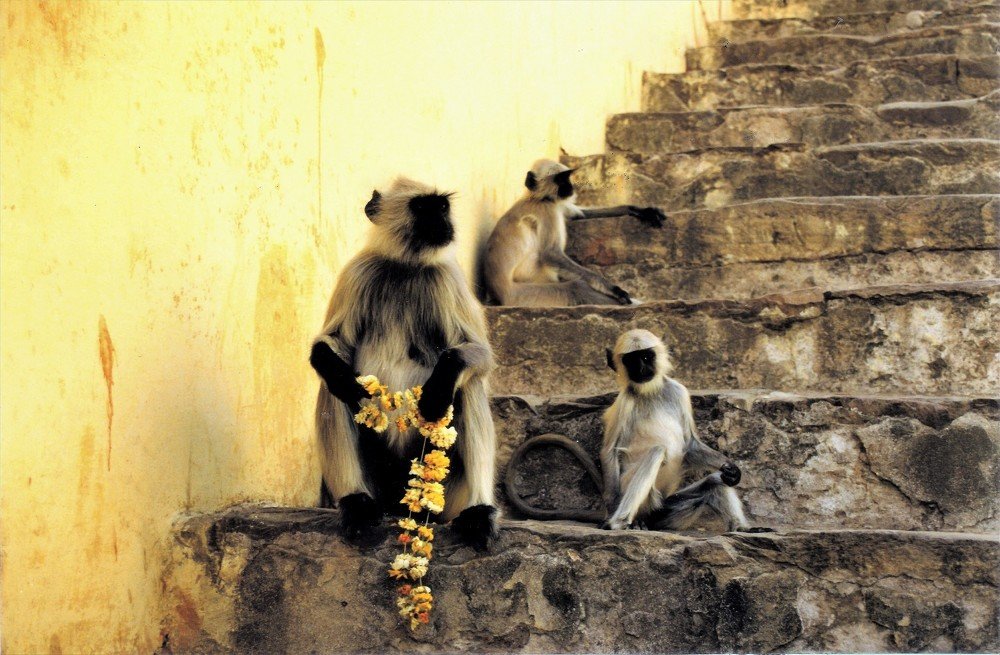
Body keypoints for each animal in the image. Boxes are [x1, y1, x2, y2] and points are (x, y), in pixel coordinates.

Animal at [310, 177, 499, 549]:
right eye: (423, 208)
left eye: (442, 207)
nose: (443, 223)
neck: (405, 267)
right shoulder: (358, 272)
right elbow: (332, 345)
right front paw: (334, 367)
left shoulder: (447, 278)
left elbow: (479, 354)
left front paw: (437, 390)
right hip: (380, 482)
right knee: (334, 386)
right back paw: (356, 505)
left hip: (445, 492)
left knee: (467, 383)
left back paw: (478, 513)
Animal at [482, 159, 666, 307]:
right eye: (560, 179)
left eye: (567, 177)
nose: (571, 186)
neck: (539, 198)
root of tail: (500, 295)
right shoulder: (547, 210)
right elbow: (551, 254)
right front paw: (612, 289)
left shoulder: (557, 204)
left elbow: (580, 214)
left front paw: (641, 210)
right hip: (525, 295)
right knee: (577, 288)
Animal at [600, 329, 765, 532]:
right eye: (630, 361)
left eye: (646, 357)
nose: (640, 369)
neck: (651, 391)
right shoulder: (625, 402)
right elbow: (610, 451)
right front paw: (611, 511)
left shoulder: (679, 391)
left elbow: (690, 445)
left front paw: (731, 468)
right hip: (636, 492)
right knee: (657, 451)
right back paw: (619, 521)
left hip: (663, 511)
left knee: (716, 481)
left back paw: (743, 528)